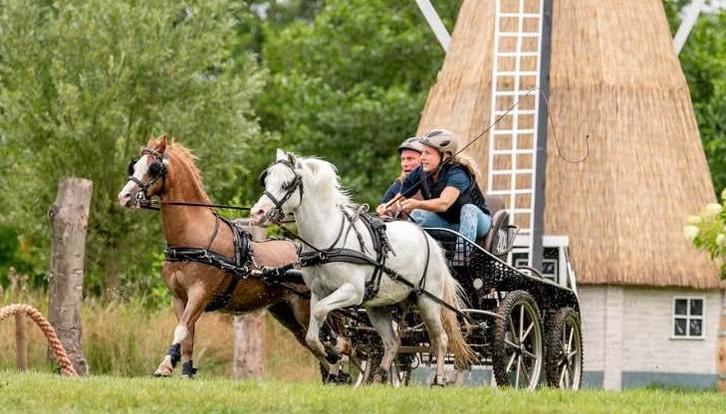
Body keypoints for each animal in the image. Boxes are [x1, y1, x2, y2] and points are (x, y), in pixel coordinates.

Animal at [117, 135, 341, 379]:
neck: (194, 237)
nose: (124, 196)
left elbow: (181, 329)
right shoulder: (179, 298)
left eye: (154, 168)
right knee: (317, 346)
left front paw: (165, 365)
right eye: (134, 166)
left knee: (336, 343)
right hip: (285, 311)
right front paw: (185, 371)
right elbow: (187, 337)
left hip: (305, 307)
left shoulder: (200, 293)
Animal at [251, 149, 476, 385]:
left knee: (440, 339)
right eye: (266, 180)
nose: (257, 213)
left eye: (286, 184)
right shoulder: (317, 293)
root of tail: (429, 240)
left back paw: (438, 380)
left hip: (428, 301)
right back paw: (379, 377)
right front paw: (331, 355)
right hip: (378, 307)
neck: (327, 242)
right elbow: (312, 334)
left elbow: (321, 312)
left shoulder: (353, 291)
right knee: (392, 342)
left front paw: (337, 347)